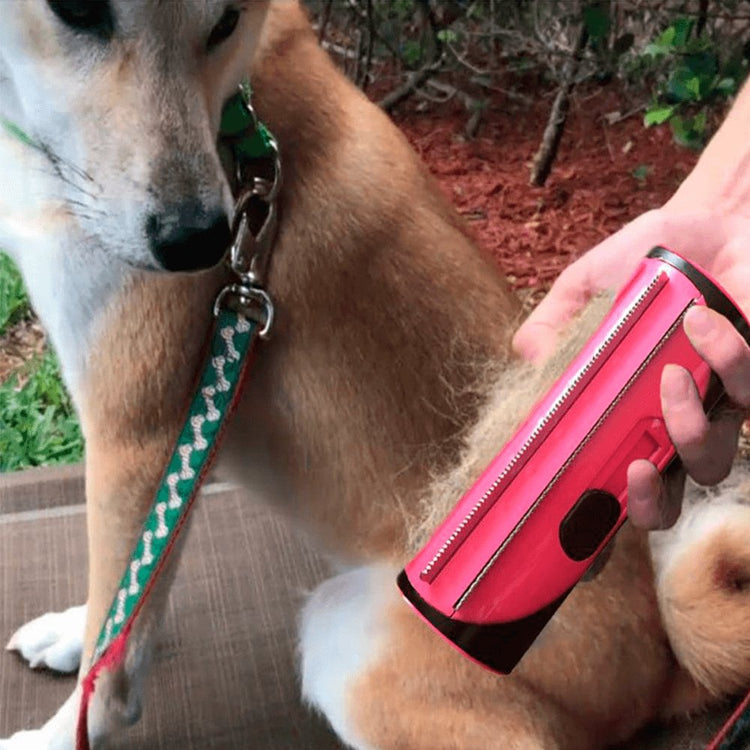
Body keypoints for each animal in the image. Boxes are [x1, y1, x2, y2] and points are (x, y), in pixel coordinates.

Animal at [1, 2, 750, 748]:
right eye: (76, 12)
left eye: (227, 21)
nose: (200, 241)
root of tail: (662, 671)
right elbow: (128, 594)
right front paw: (74, 631)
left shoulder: (138, 432)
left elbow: (118, 639)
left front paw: (64, 730)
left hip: (351, 639)